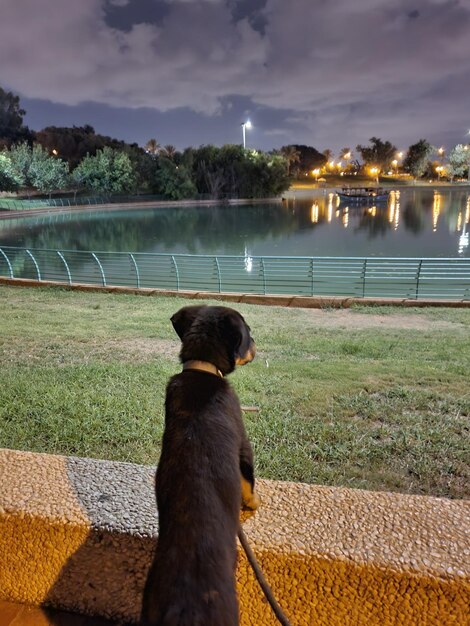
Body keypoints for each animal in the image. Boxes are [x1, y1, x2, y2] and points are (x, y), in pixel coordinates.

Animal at [142, 304, 260, 620]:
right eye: (248, 333)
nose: (257, 347)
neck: (202, 368)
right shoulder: (244, 444)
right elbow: (248, 478)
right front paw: (252, 503)